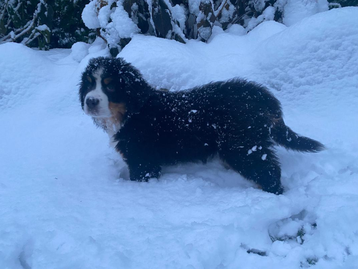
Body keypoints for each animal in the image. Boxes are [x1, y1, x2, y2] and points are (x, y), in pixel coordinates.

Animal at [79, 57, 324, 194]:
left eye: (110, 86)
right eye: (89, 84)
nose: (90, 101)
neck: (133, 112)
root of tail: (258, 94)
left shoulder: (142, 160)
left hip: (242, 146)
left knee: (268, 172)